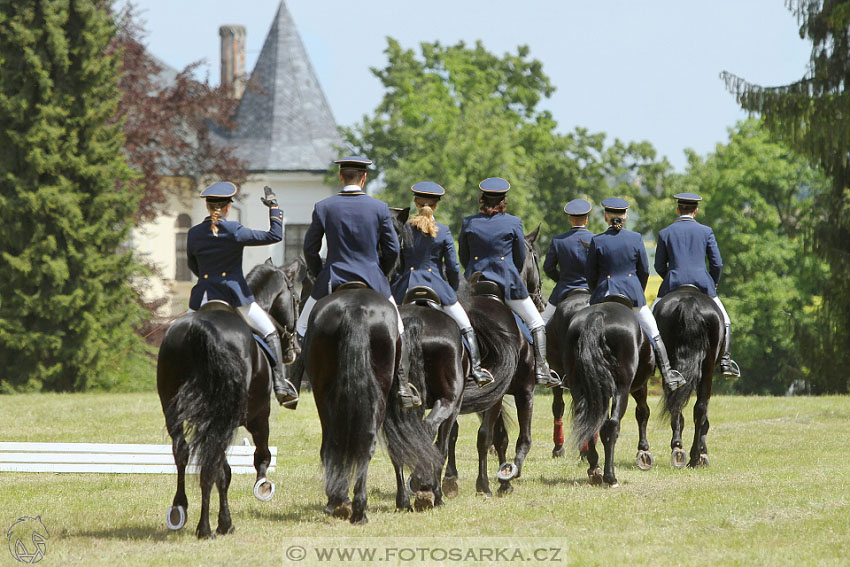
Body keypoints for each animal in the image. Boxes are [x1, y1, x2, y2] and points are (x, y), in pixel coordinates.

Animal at [157, 260, 300, 540]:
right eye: (297, 299)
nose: (295, 350)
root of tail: (199, 330)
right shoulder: (259, 416)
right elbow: (262, 455)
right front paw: (263, 486)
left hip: (176, 410)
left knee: (185, 453)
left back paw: (180, 511)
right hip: (226, 418)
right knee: (215, 467)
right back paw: (212, 526)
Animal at [302, 286, 440, 524]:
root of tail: (356, 308)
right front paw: (403, 501)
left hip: (323, 393)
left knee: (334, 442)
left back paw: (339, 503)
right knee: (367, 442)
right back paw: (359, 510)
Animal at [568, 302, 652, 488]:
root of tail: (598, 315)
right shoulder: (638, 387)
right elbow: (643, 412)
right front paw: (643, 451)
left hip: (582, 389)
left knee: (590, 423)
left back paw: (595, 469)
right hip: (622, 388)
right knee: (612, 426)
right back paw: (610, 476)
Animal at [648, 286, 724, 468]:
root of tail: (689, 302)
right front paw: (703, 452)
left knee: (680, 404)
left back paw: (680, 449)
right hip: (707, 367)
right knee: (698, 408)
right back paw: (692, 455)